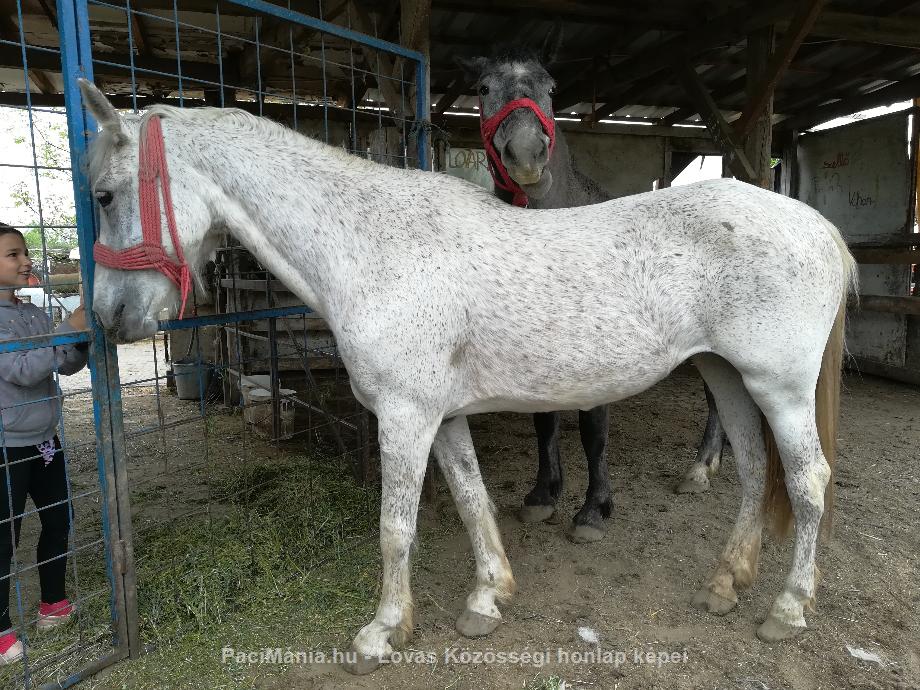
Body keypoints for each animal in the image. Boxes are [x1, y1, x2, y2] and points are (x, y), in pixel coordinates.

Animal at [77, 78, 856, 668]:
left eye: (106, 195)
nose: (109, 318)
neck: (373, 246)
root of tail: (816, 226)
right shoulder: (441, 416)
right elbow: (473, 500)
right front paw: (488, 598)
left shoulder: (405, 415)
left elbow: (396, 527)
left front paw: (382, 631)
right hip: (726, 376)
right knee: (753, 470)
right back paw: (726, 583)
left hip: (779, 388)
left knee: (807, 482)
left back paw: (788, 608)